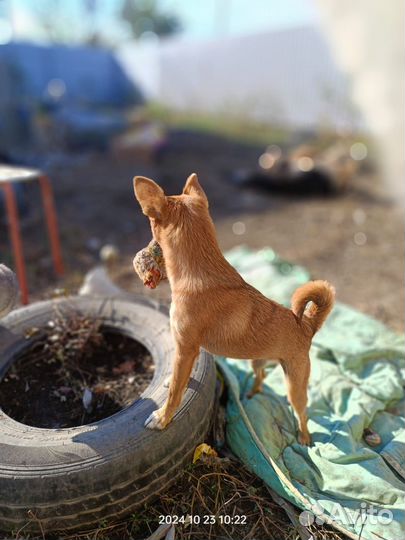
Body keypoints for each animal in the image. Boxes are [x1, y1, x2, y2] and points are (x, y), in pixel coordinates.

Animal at [133, 173, 334, 442]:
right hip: (258, 361)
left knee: (303, 413)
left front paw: (162, 418)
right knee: (260, 375)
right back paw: (252, 393)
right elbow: (181, 378)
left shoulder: (186, 348)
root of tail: (307, 325)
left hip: (295, 385)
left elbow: (176, 391)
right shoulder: (189, 349)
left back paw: (304, 438)